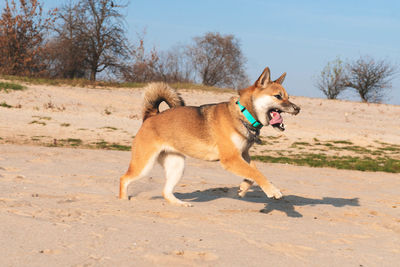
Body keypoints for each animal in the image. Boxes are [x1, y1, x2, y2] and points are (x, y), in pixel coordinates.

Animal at [119, 67, 300, 207]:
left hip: (176, 166)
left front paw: (243, 187)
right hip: (144, 165)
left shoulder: (242, 155)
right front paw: (273, 190)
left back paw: (180, 204)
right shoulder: (230, 159)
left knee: (166, 192)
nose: (298, 109)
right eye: (278, 96)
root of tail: (151, 117)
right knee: (124, 178)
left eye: (288, 96)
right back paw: (123, 200)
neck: (242, 114)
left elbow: (253, 172)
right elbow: (257, 174)